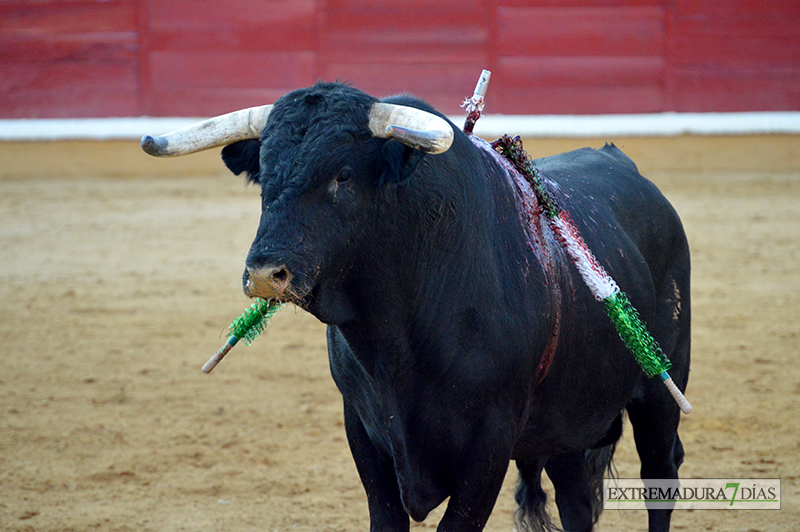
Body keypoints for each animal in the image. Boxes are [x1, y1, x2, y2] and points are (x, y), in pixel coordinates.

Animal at [217, 83, 688, 532]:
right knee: (576, 500)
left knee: (661, 474)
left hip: (662, 392)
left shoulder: (490, 440)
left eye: (344, 175)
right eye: (264, 177)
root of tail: (622, 162)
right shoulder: (362, 427)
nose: (265, 272)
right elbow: (385, 518)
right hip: (566, 422)